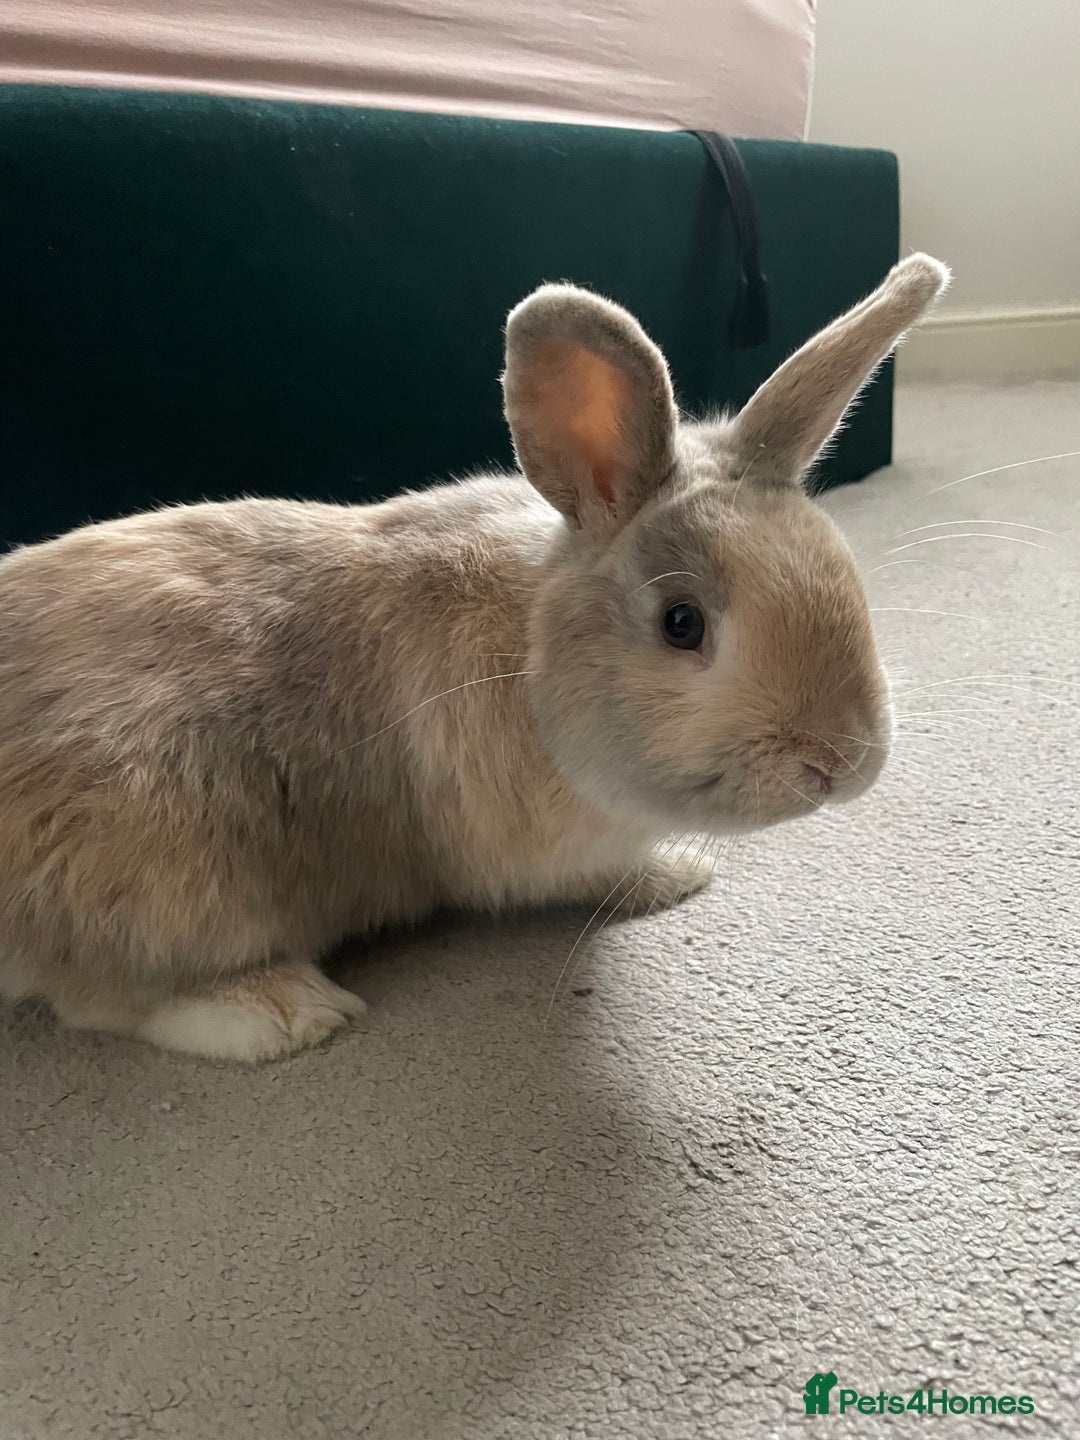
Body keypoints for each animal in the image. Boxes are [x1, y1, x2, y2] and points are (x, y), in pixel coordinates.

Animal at [0, 253, 949, 1062]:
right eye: (682, 624)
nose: (840, 760)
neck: (528, 661)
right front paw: (681, 872)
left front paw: (677, 871)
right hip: (167, 867)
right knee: (109, 994)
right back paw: (283, 1012)